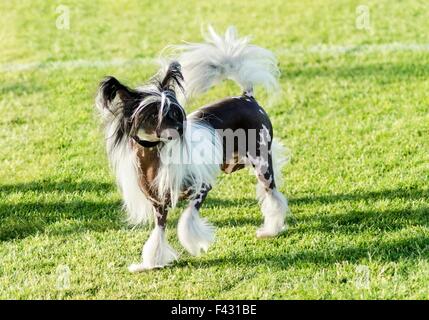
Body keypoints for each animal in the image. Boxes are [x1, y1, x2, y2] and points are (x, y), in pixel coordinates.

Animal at [95, 26, 290, 272]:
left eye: (173, 112)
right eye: (152, 115)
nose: (179, 129)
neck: (154, 156)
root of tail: (246, 98)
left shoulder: (202, 187)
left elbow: (186, 219)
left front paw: (193, 243)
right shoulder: (158, 204)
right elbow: (158, 233)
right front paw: (151, 263)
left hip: (262, 162)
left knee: (273, 194)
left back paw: (271, 229)